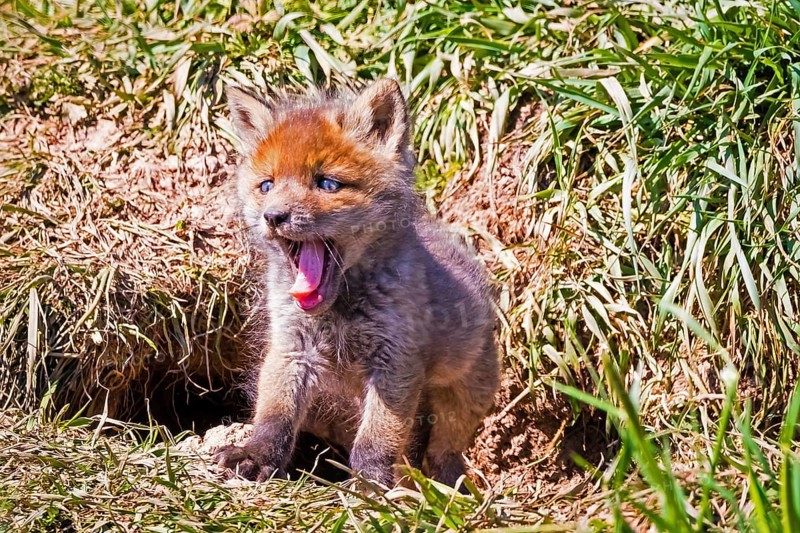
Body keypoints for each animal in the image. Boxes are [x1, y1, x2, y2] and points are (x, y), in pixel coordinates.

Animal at [215, 78, 499, 488]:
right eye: (266, 185)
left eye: (327, 183)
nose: (274, 216)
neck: (339, 313)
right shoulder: (291, 348)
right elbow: (274, 418)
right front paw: (256, 456)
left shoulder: (396, 360)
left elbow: (377, 438)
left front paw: (370, 484)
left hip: (461, 398)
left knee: (442, 453)